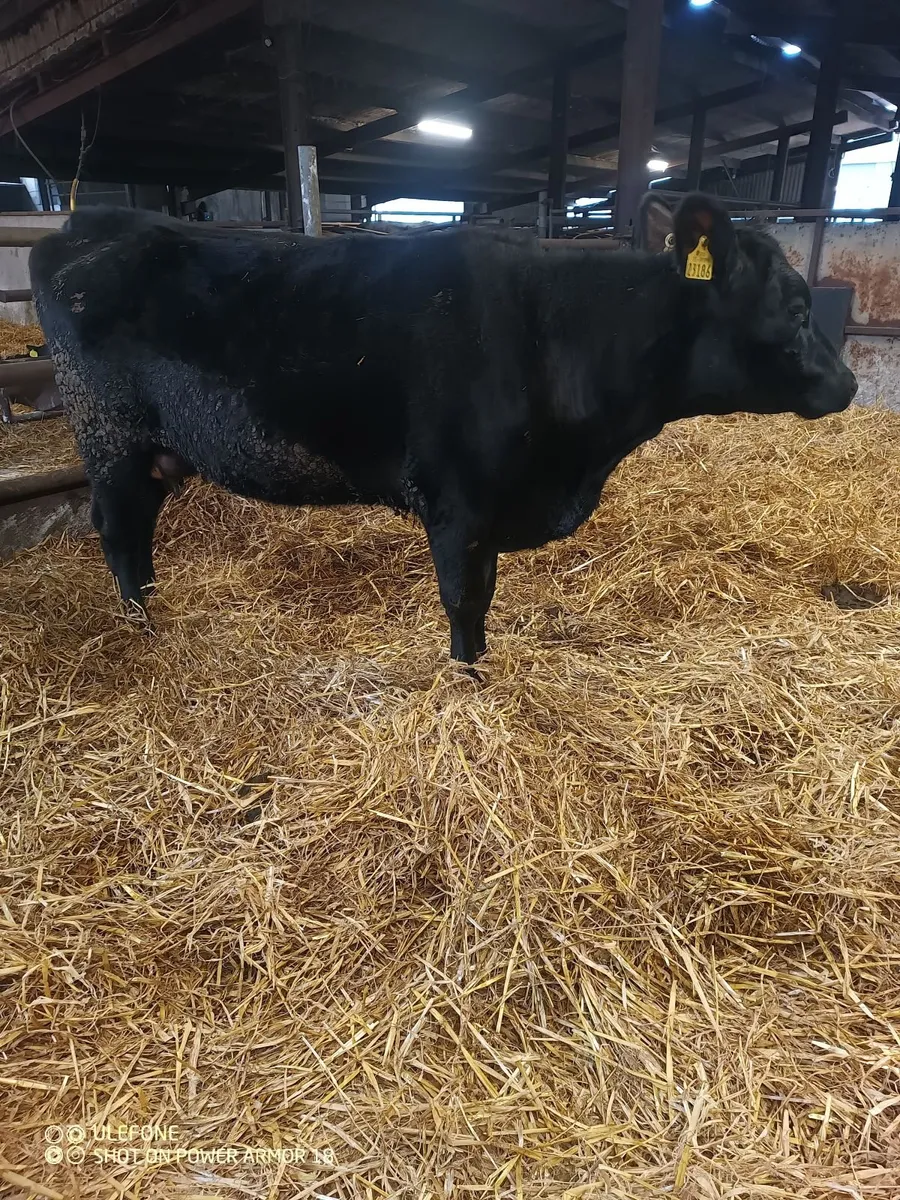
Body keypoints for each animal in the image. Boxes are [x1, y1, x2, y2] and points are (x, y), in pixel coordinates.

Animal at [29, 194, 857, 664]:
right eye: (795, 309)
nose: (848, 383)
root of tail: (89, 222)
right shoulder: (458, 499)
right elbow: (466, 600)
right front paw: (468, 679)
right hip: (110, 438)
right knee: (118, 530)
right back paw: (142, 627)